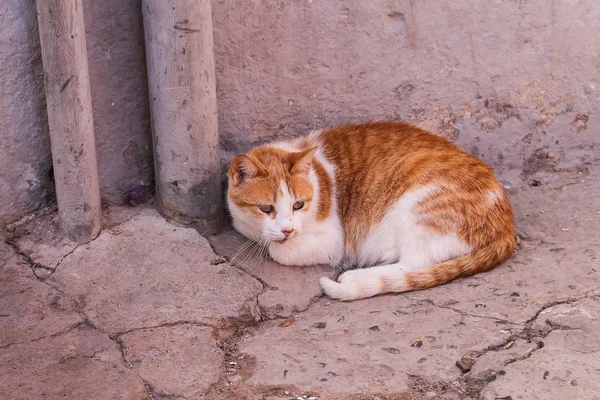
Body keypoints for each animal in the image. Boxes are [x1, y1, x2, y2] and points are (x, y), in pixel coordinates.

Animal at [226, 121, 516, 300]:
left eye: (298, 205)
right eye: (266, 208)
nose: (287, 229)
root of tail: (507, 224)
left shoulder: (333, 240)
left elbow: (278, 251)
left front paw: (277, 243)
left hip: (417, 201)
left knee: (414, 264)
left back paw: (355, 277)